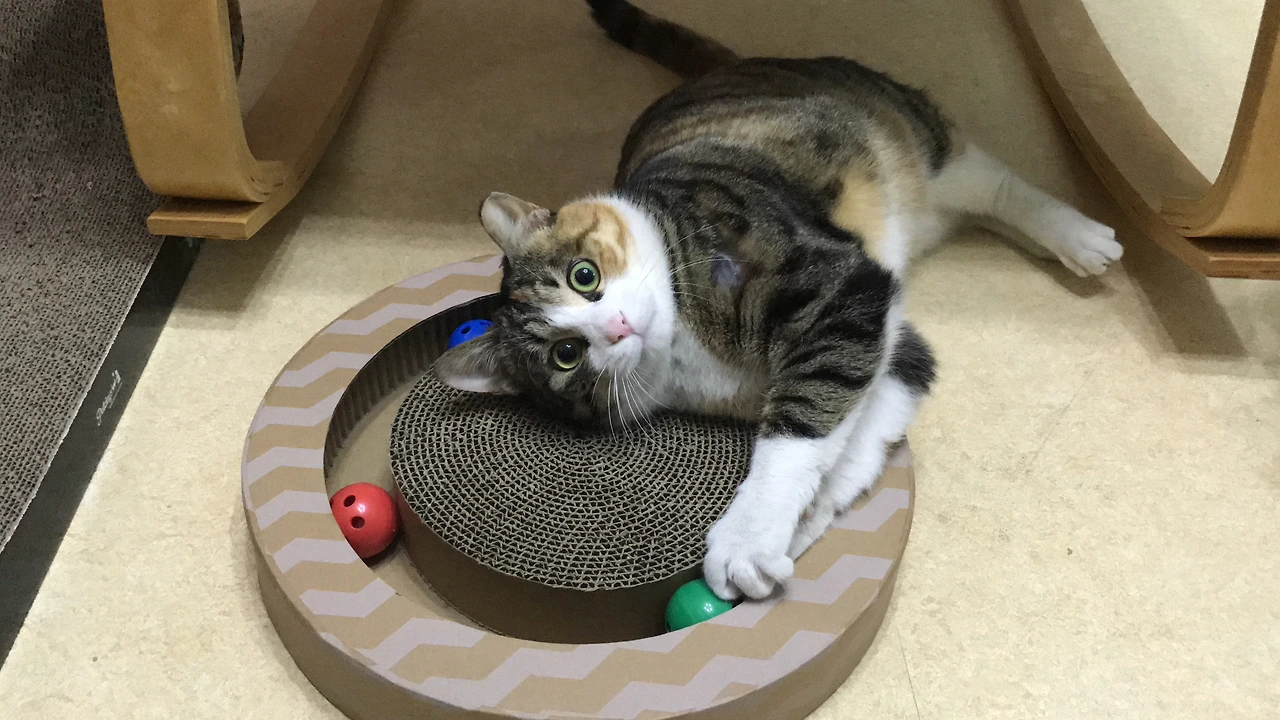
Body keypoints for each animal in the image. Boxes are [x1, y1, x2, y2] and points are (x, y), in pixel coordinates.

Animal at [434, 0, 1122, 601]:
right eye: (567, 356)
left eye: (583, 276)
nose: (619, 326)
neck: (679, 340)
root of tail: (736, 67)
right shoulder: (892, 342)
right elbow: (860, 435)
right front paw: (802, 525)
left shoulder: (840, 288)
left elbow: (801, 426)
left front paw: (747, 539)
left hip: (914, 140)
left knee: (993, 180)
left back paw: (1079, 237)